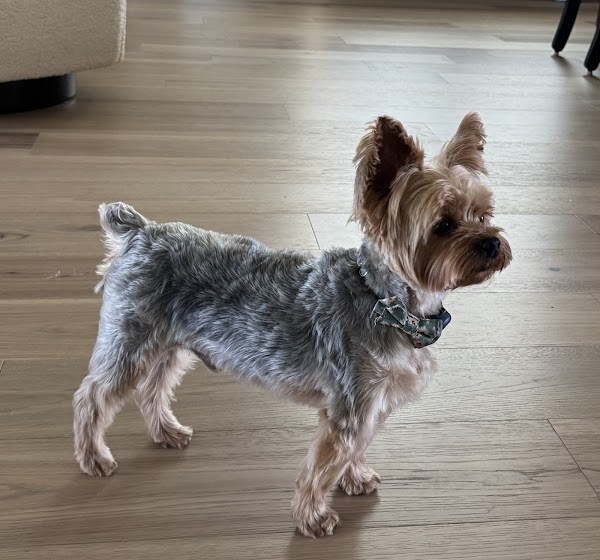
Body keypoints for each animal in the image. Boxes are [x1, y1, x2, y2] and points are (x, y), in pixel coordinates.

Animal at [73, 112, 511, 538]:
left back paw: (166, 432)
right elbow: (324, 465)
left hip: (170, 342)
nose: (493, 242)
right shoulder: (350, 404)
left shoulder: (373, 402)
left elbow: (357, 449)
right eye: (443, 225)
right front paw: (312, 519)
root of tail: (140, 233)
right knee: (91, 396)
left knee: (152, 387)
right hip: (132, 335)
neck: (386, 301)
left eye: (484, 214)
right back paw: (93, 457)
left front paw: (355, 478)